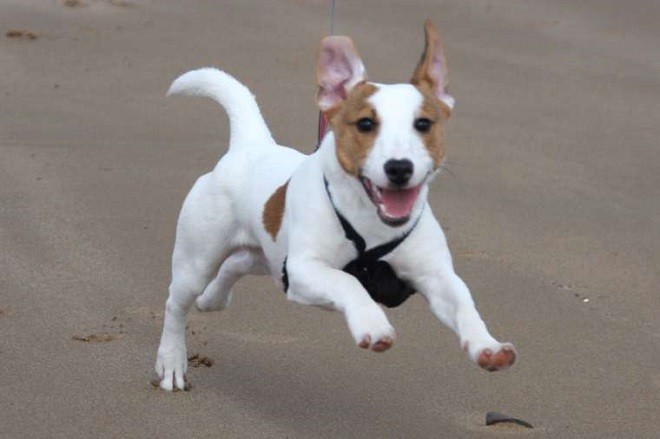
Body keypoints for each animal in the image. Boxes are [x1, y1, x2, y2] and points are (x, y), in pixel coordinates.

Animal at [156, 19, 516, 392]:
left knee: (236, 264)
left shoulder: (435, 275)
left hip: (268, 255)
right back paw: (172, 361)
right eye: (365, 124)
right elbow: (349, 282)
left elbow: (464, 303)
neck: (370, 222)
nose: (399, 168)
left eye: (424, 124)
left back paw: (213, 299)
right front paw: (372, 322)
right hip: (199, 259)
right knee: (175, 305)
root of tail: (250, 145)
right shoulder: (304, 270)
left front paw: (487, 346)